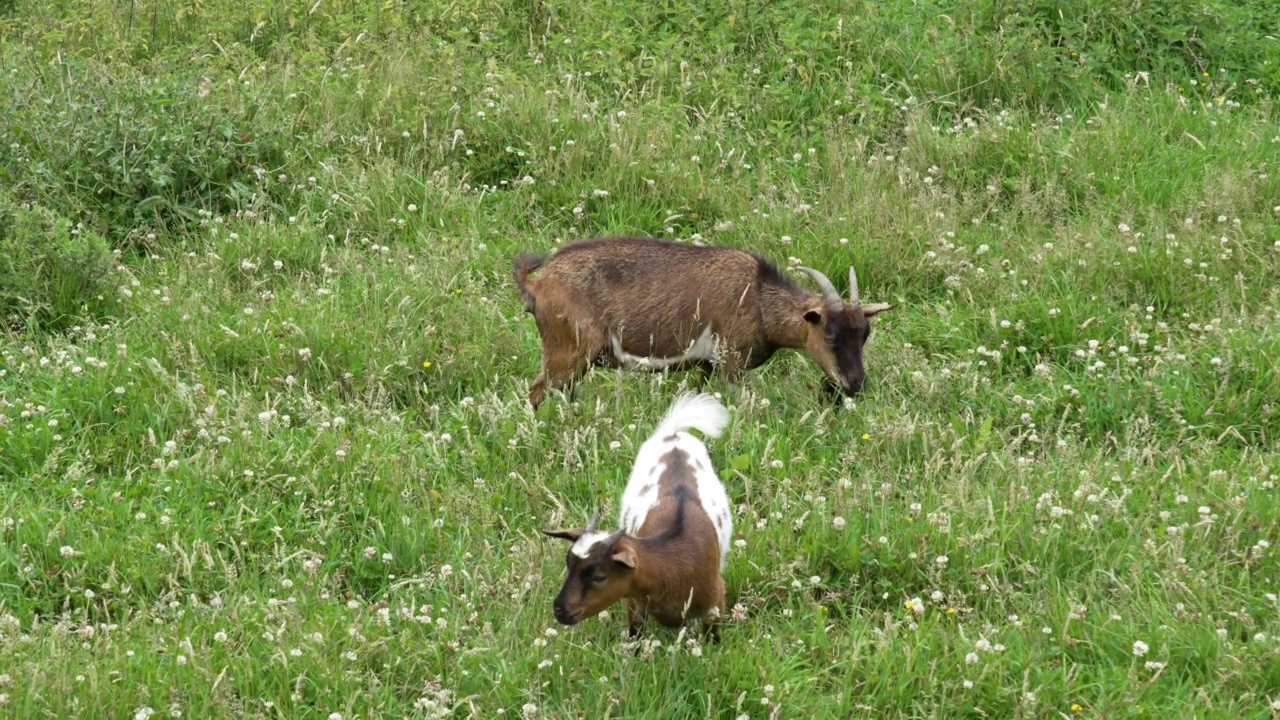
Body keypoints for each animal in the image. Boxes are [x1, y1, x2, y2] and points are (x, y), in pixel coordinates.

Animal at [545, 392, 737, 638]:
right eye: (569, 566)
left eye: (599, 576)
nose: (559, 610)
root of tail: (673, 434)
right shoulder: (634, 606)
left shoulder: (715, 607)